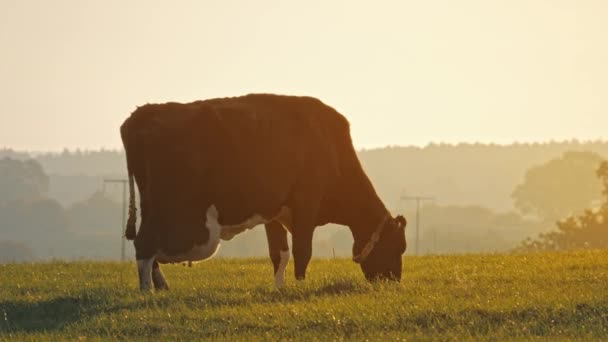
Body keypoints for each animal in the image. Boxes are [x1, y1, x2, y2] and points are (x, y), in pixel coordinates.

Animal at [119, 93, 406, 292]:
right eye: (398, 247)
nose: (393, 282)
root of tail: (143, 113)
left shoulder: (274, 212)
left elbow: (279, 253)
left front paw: (280, 288)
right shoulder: (307, 203)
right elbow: (303, 251)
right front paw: (300, 288)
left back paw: (162, 288)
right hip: (172, 211)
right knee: (145, 245)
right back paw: (148, 292)